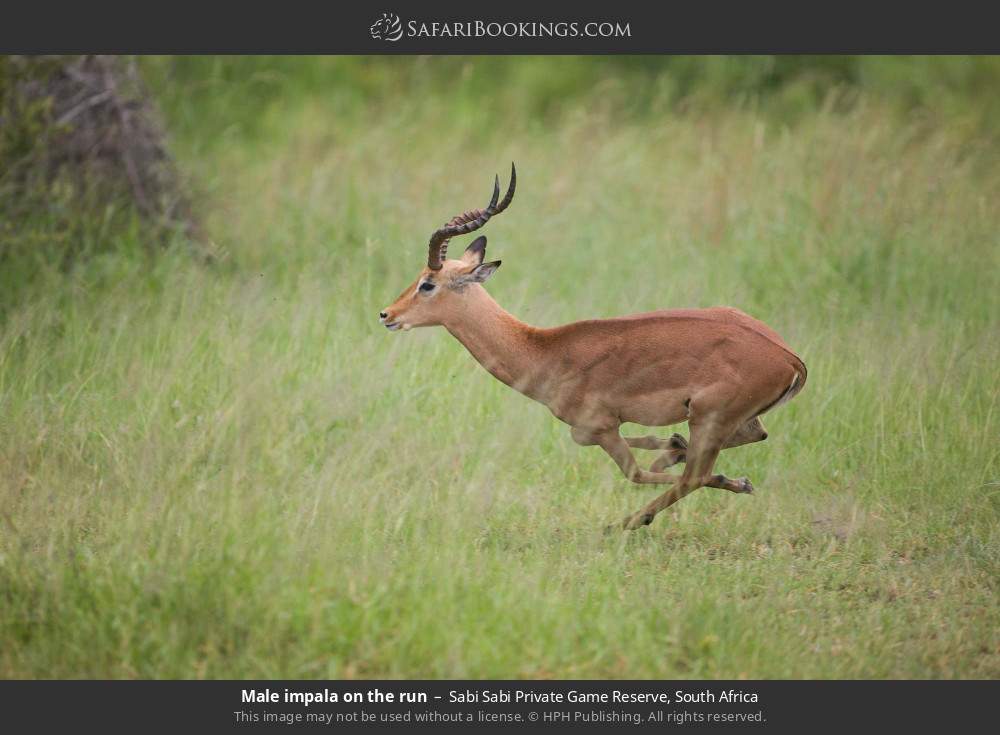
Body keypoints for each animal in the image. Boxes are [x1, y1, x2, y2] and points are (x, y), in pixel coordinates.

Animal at [379, 165, 807, 530]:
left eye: (428, 283)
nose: (387, 314)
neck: (545, 351)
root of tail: (790, 359)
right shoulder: (601, 427)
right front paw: (677, 448)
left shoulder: (598, 426)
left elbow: (634, 469)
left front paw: (726, 477)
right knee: (749, 438)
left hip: (707, 416)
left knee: (694, 476)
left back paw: (627, 522)